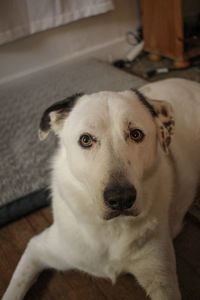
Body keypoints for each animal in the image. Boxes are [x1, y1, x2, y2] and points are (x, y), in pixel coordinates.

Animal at [1, 78, 200, 298]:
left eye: (136, 134)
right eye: (86, 139)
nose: (121, 198)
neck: (110, 229)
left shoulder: (161, 277)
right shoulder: (38, 248)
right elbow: (15, 289)